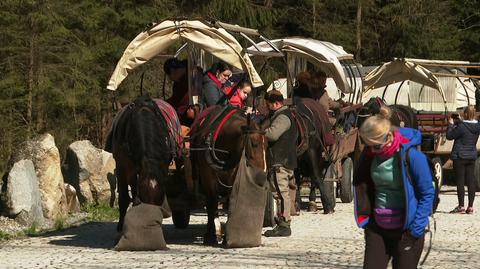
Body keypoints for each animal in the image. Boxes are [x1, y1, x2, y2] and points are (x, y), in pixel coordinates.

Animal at [105, 94, 176, 230]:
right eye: (145, 198)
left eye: (158, 199)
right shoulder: (122, 167)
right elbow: (124, 197)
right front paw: (121, 226)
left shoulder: (163, 166)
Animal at [190, 105, 266, 244]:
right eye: (254, 143)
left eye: (267, 145)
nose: (262, 174)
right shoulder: (208, 178)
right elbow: (211, 203)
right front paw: (211, 234)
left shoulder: (233, 176)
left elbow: (231, 200)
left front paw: (227, 235)